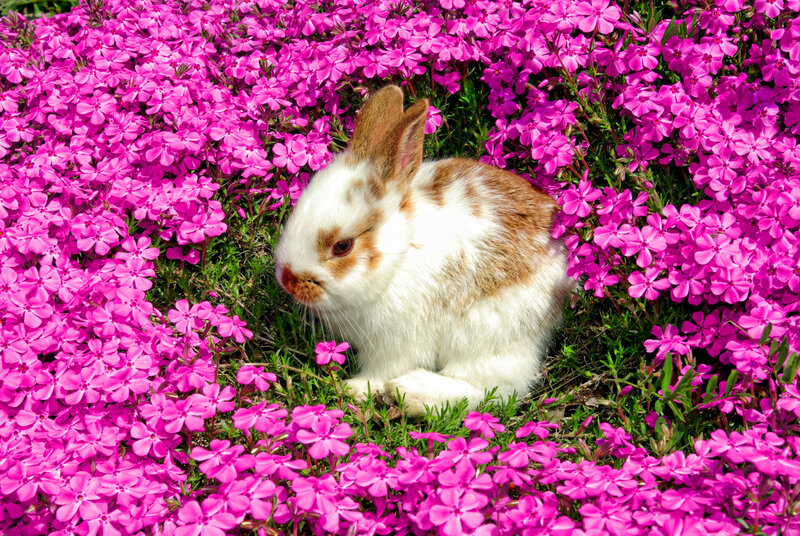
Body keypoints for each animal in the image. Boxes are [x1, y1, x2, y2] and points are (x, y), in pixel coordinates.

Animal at [275, 85, 574, 416]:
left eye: (342, 246)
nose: (287, 280)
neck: (400, 255)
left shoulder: (396, 343)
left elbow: (382, 371)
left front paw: (355, 388)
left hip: (489, 336)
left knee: (494, 391)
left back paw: (412, 392)